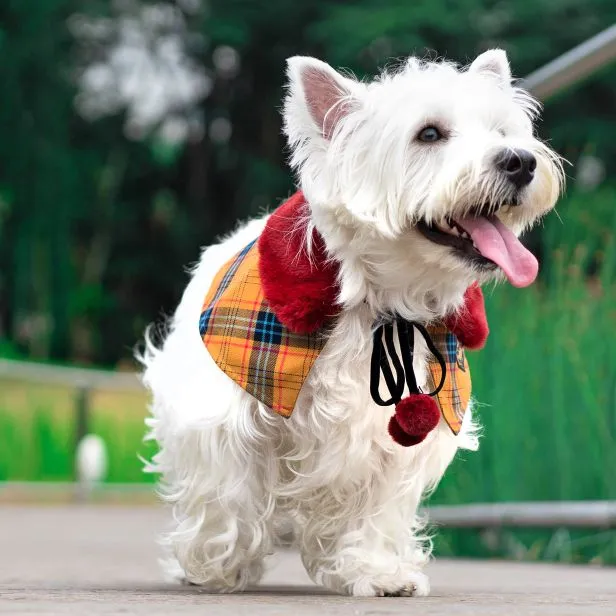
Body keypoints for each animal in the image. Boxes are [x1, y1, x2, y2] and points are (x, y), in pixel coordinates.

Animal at [142, 49, 564, 596]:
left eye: (501, 131)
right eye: (429, 134)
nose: (521, 161)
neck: (381, 303)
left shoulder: (395, 431)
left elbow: (377, 509)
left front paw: (378, 572)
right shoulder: (227, 409)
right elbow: (228, 487)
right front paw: (218, 565)